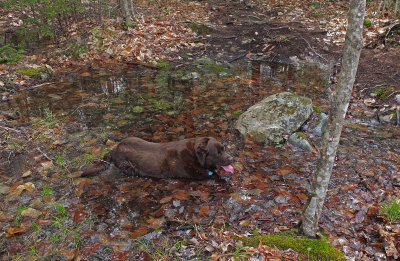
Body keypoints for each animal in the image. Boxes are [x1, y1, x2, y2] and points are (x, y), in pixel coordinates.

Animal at [83, 136, 234, 179]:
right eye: (218, 153)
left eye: (224, 149)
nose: (232, 159)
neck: (195, 156)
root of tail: (115, 148)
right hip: (128, 166)